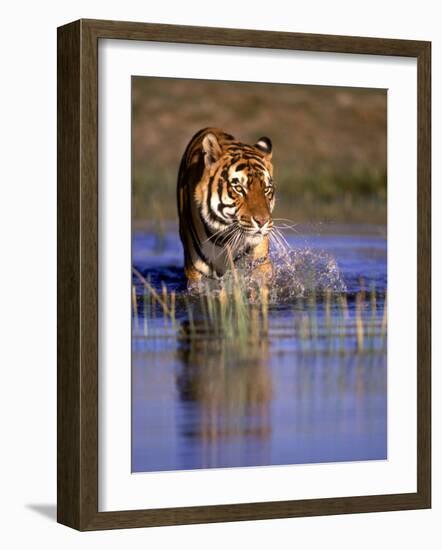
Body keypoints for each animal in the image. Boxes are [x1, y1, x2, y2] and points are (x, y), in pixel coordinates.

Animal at [175, 127, 272, 286]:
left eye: (266, 189)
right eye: (239, 188)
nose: (262, 221)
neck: (224, 238)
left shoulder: (260, 262)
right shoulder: (196, 271)